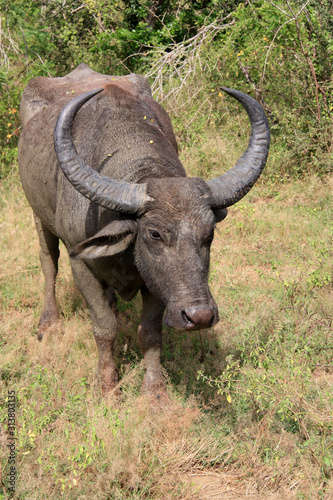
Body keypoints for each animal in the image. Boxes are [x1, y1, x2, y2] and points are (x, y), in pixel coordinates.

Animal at [18, 64, 270, 396]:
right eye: (154, 233)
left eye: (209, 234)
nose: (200, 316)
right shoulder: (81, 265)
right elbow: (104, 326)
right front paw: (107, 385)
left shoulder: (157, 283)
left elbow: (150, 332)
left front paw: (154, 390)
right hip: (38, 217)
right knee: (49, 262)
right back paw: (48, 323)